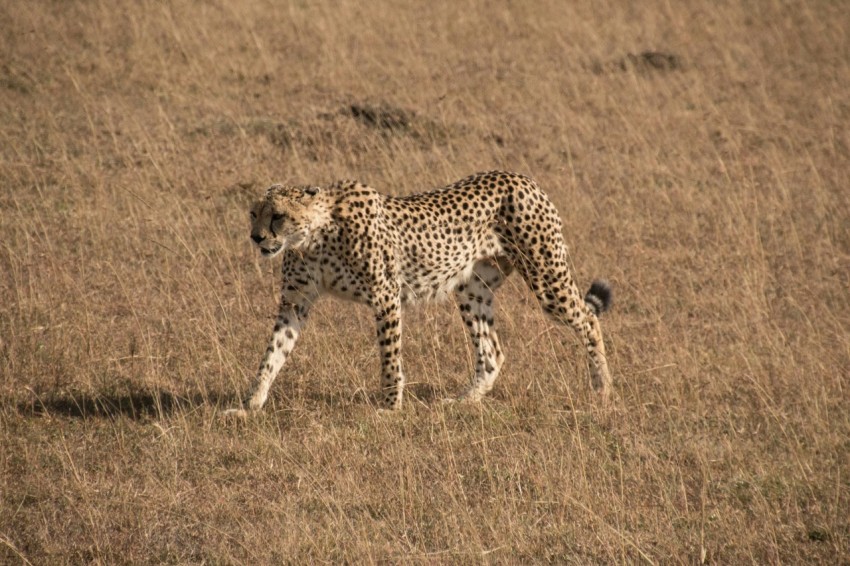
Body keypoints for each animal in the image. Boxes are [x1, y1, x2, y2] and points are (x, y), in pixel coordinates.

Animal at [225, 170, 608, 418]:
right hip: (471, 289)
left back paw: (602, 388)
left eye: (278, 216)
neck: (313, 237)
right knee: (493, 351)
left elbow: (390, 358)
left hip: (546, 278)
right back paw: (464, 402)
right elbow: (272, 353)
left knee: (588, 319)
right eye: (253, 213)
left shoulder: (386, 295)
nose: (256, 237)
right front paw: (250, 406)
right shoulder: (295, 301)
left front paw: (390, 408)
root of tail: (522, 177)